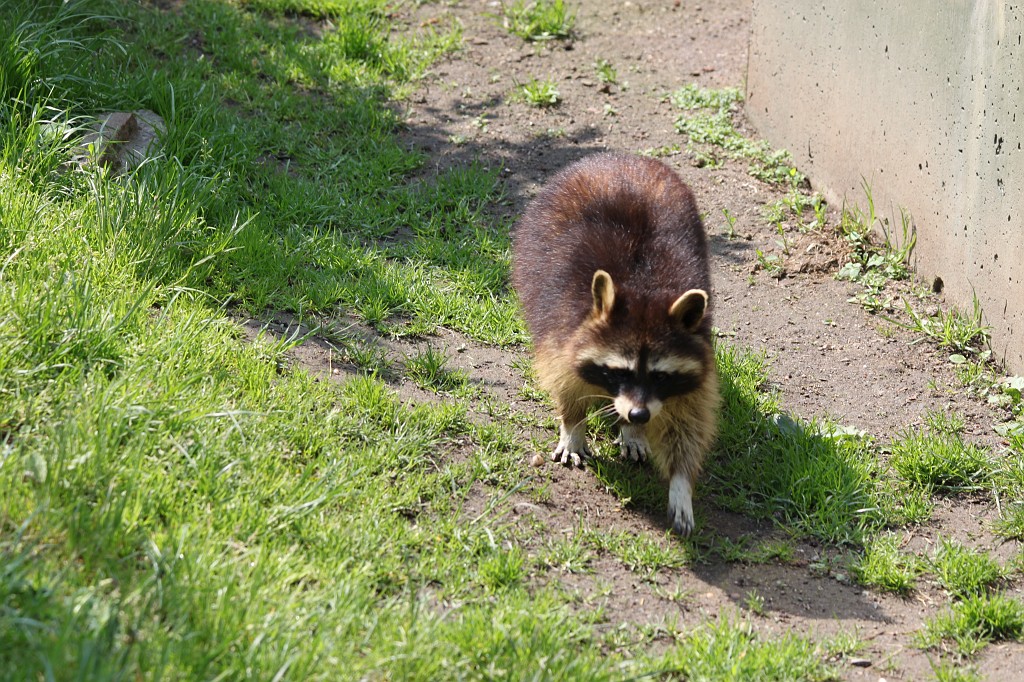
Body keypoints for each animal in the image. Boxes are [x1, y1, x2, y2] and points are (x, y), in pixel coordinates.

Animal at [512, 152, 719, 536]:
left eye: (661, 376)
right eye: (619, 371)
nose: (638, 415)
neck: (643, 289)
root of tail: (619, 158)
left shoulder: (697, 357)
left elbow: (688, 423)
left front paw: (680, 483)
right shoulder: (563, 326)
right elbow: (565, 379)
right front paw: (573, 425)